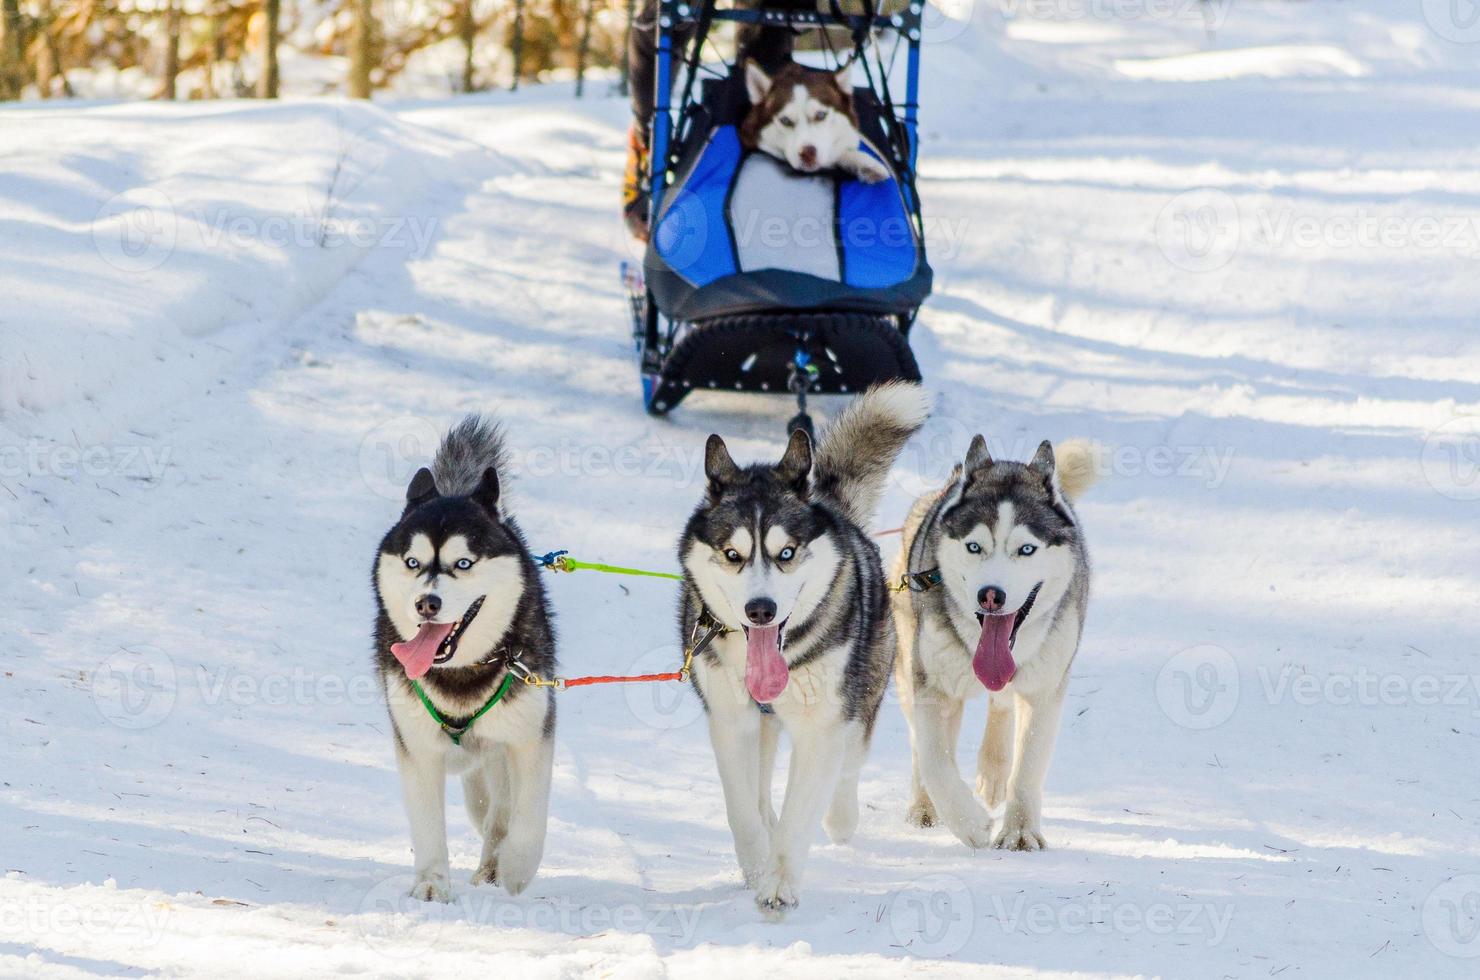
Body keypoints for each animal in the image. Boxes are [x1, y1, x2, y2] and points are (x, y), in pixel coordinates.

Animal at [370, 417, 556, 905]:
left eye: (464, 563)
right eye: (413, 562)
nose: (426, 603)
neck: (459, 674)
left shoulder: (530, 738)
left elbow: (527, 819)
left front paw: (516, 868)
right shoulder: (416, 747)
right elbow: (428, 825)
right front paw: (432, 882)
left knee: (501, 814)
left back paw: (496, 866)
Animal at [677, 381, 923, 911]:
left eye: (786, 552)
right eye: (733, 554)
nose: (760, 610)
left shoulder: (821, 728)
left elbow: (800, 811)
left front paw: (780, 883)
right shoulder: (731, 721)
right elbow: (742, 808)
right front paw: (757, 865)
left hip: (864, 692)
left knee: (848, 765)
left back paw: (840, 816)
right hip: (763, 724)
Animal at [882, 438, 1095, 852]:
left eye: (1026, 549)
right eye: (974, 547)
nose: (991, 596)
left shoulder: (1044, 688)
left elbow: (1028, 764)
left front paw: (1020, 832)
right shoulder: (931, 684)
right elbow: (933, 757)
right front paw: (969, 823)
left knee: (1002, 704)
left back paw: (993, 774)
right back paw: (925, 806)